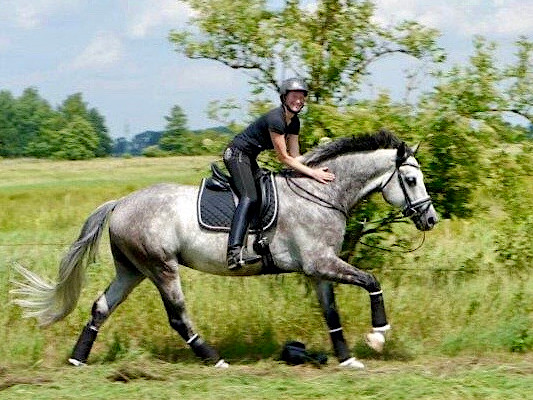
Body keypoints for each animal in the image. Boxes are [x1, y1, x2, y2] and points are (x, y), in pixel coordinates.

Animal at [12, 130, 436, 368]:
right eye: (411, 180)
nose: (430, 219)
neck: (322, 193)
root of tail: (120, 203)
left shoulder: (318, 269)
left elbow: (331, 312)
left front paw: (347, 359)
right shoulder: (322, 263)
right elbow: (371, 280)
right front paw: (378, 333)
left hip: (132, 270)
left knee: (101, 306)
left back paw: (78, 358)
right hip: (162, 267)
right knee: (178, 316)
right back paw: (213, 359)